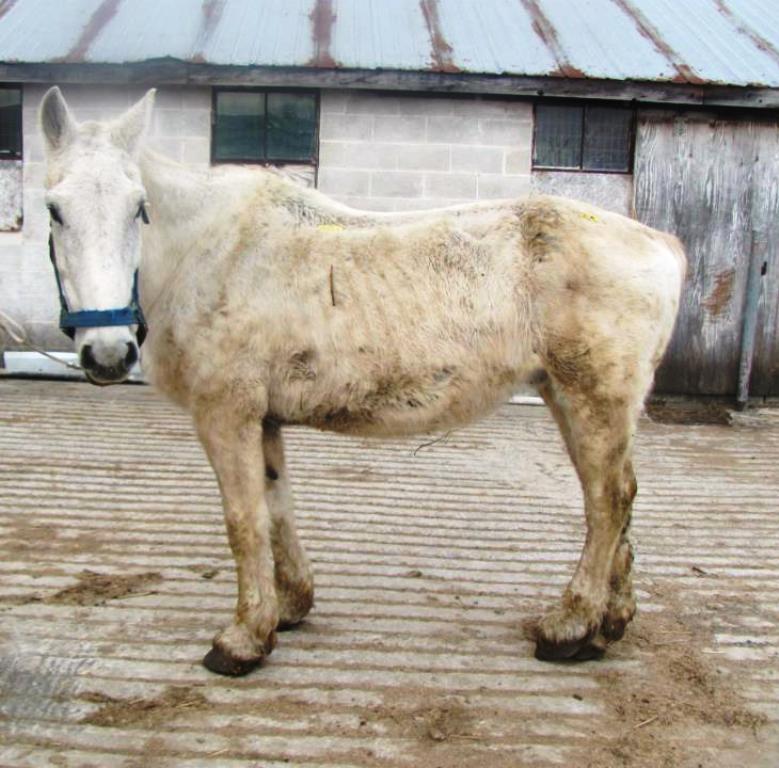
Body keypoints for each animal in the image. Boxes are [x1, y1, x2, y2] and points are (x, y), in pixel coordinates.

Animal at [38, 87, 685, 676]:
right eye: (54, 209)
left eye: (138, 206)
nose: (107, 353)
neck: (212, 252)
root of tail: (662, 244)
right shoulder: (263, 419)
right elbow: (276, 509)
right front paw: (288, 608)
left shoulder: (227, 415)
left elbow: (244, 522)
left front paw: (243, 639)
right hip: (567, 396)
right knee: (618, 498)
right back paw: (608, 625)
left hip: (592, 396)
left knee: (607, 502)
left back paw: (569, 627)